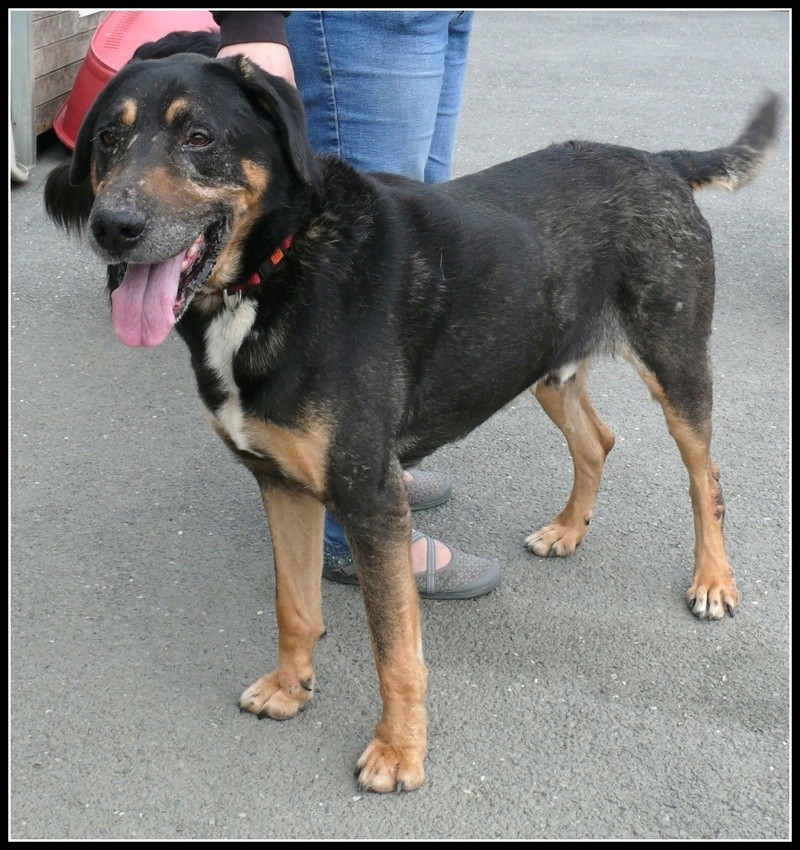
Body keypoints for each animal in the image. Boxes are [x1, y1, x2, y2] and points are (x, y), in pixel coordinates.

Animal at [45, 33, 780, 788]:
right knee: (596, 440)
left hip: (676, 364)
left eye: (199, 137)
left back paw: (713, 581)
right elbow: (294, 605)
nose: (112, 227)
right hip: (545, 364)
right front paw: (290, 688)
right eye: (108, 138)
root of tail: (659, 160)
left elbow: (394, 647)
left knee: (705, 477)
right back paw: (568, 529)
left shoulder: (372, 500)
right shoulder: (281, 483)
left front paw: (400, 751)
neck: (274, 268)